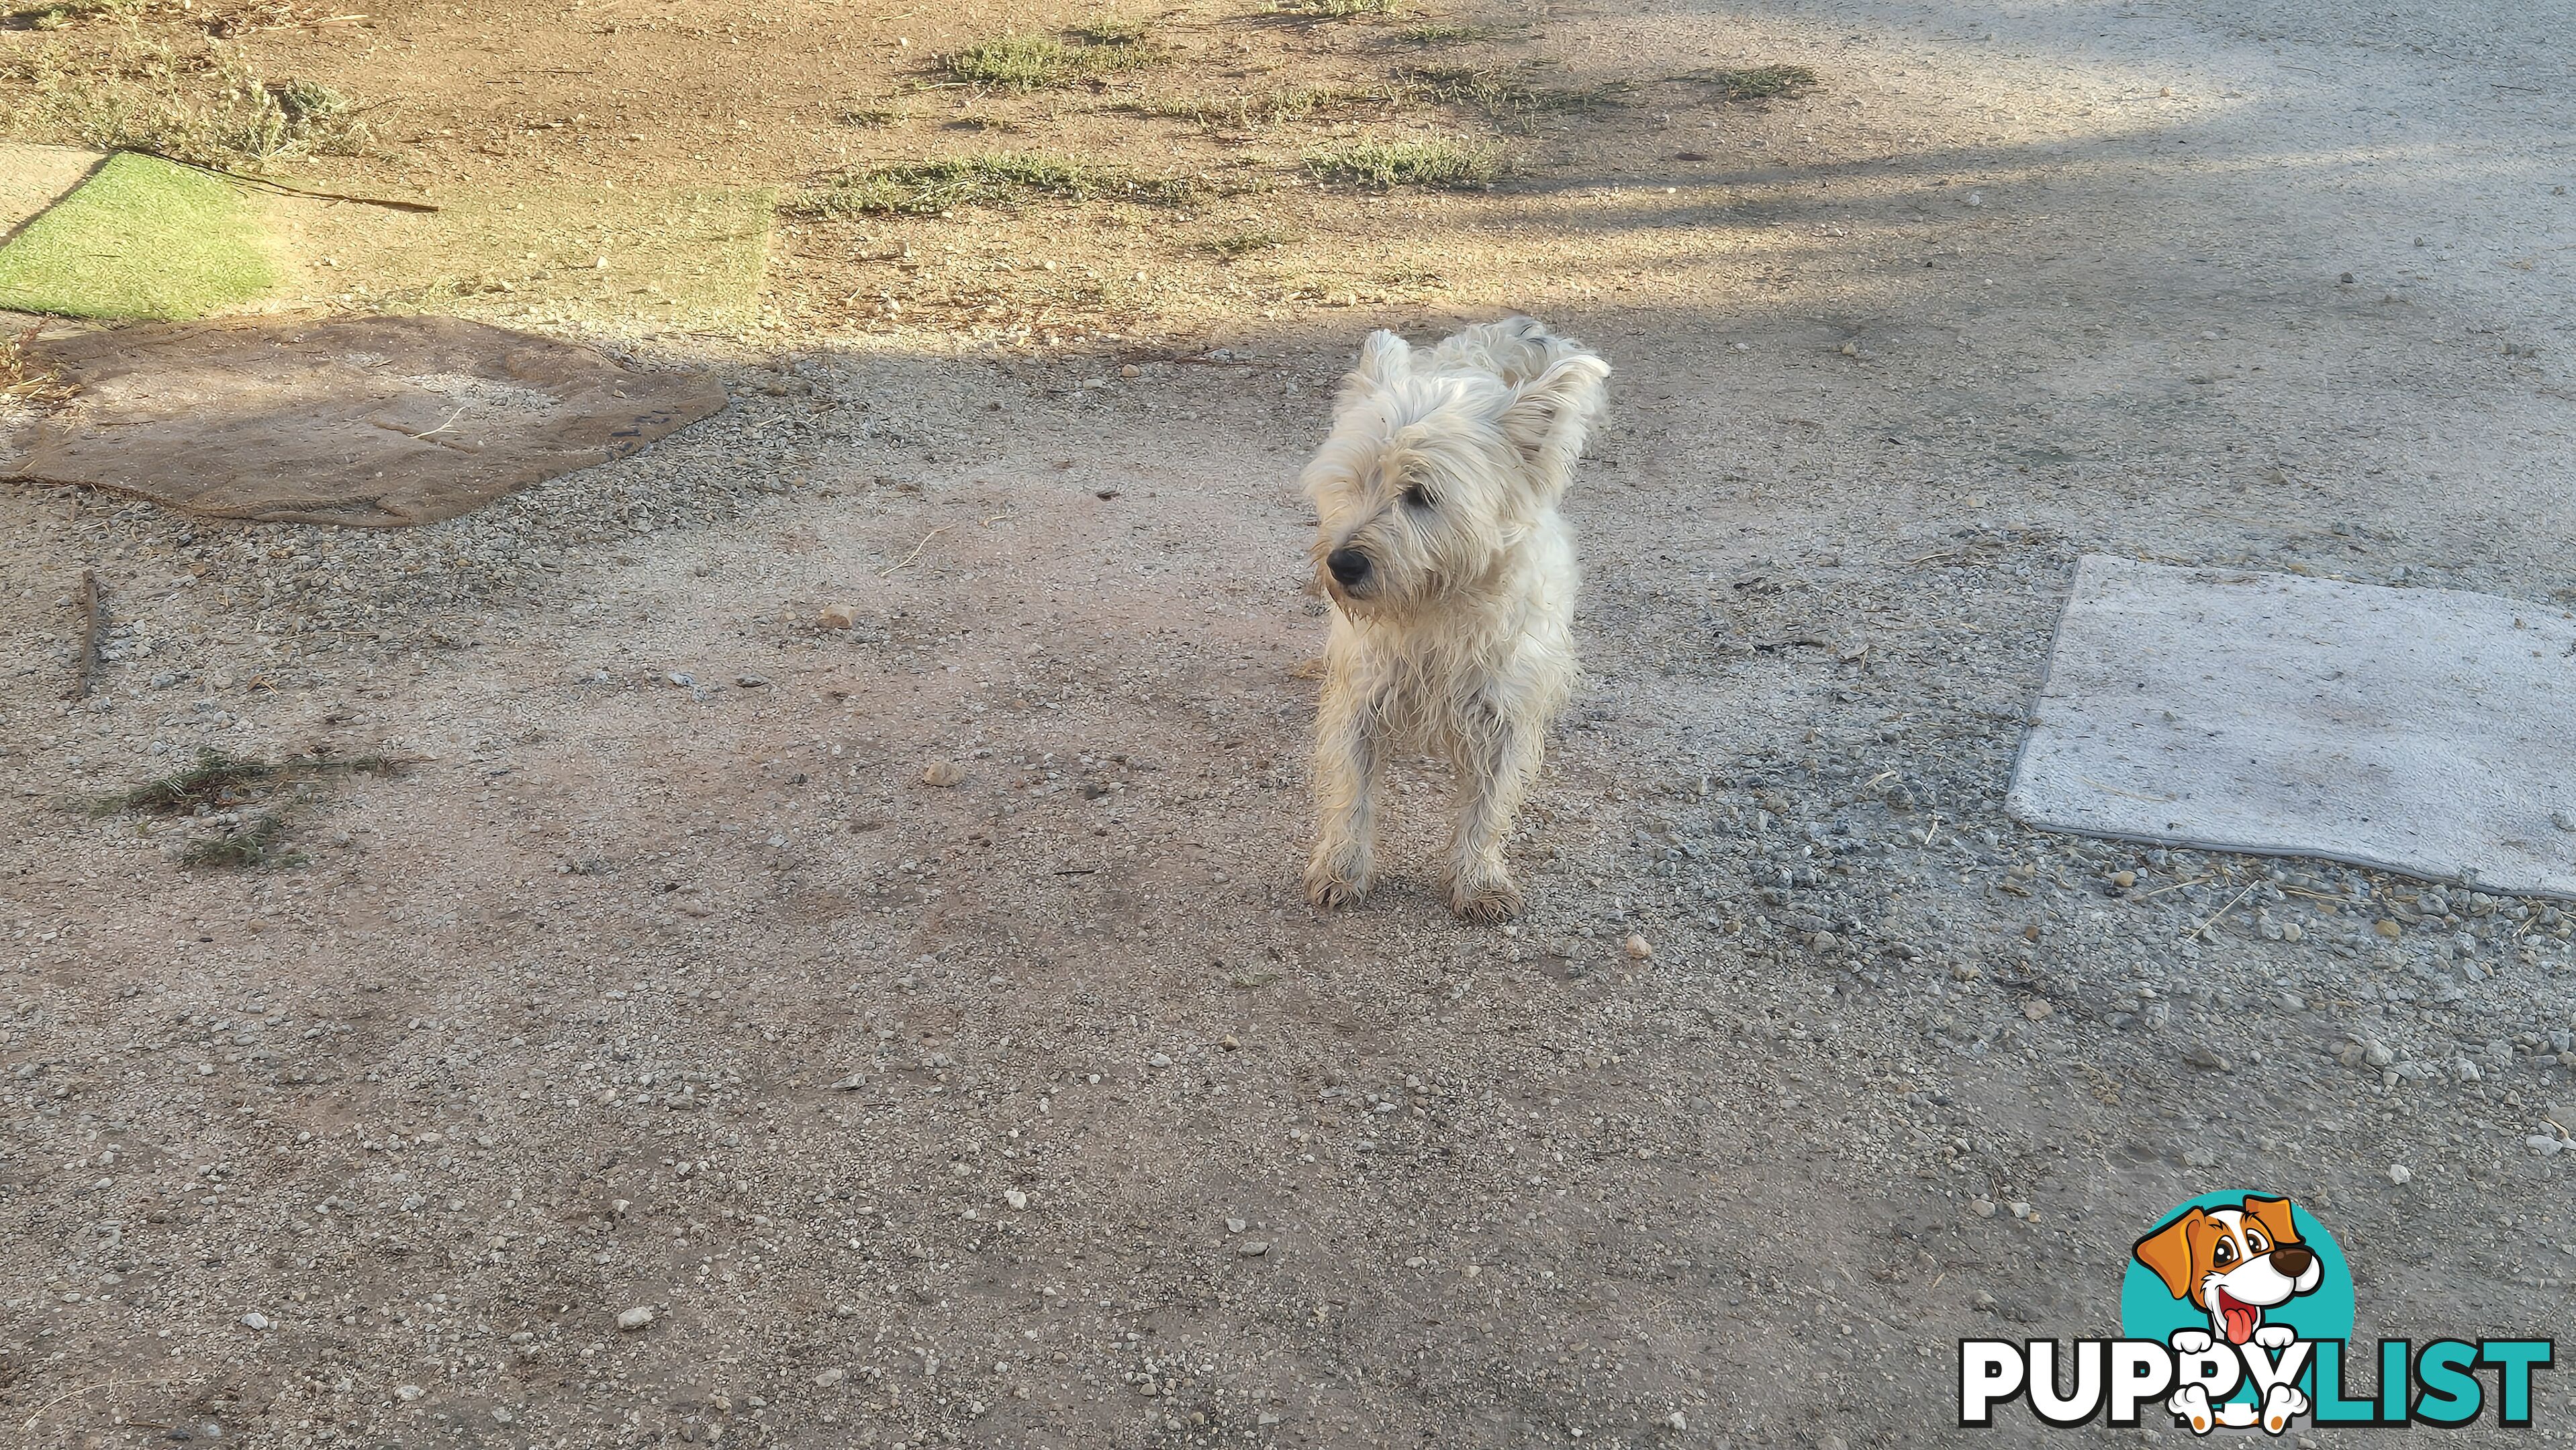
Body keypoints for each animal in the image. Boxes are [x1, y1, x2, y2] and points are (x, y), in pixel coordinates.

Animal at [1308, 323, 1607, 927]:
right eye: (1352, 481)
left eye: (1421, 495)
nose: (1342, 564)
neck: (1432, 612)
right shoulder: (1360, 702)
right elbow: (1351, 792)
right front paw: (1342, 868)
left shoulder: (1504, 715)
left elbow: (1487, 807)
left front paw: (1478, 880)